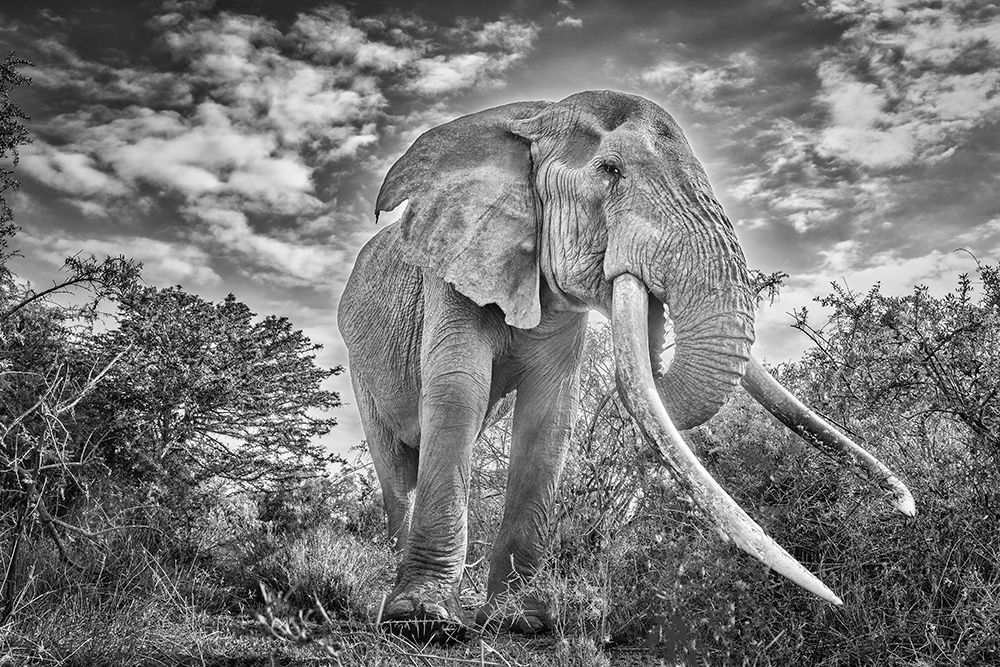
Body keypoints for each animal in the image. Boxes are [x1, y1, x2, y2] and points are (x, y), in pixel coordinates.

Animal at [338, 90, 915, 637]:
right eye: (610, 171)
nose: (908, 508)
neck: (536, 118)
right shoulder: (455, 262)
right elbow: (458, 391)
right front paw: (422, 620)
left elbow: (549, 417)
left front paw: (523, 620)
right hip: (359, 364)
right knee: (396, 468)